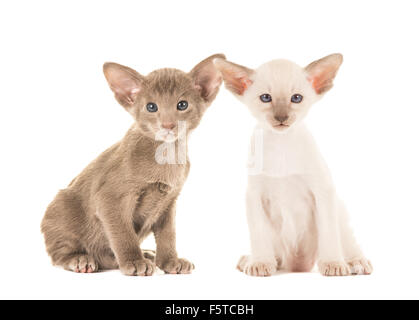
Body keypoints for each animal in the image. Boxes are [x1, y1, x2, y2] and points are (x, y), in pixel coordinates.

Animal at [215, 53, 372, 276]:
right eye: (266, 98)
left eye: (296, 98)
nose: (282, 117)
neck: (282, 144)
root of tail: (298, 266)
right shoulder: (255, 196)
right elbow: (258, 233)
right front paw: (260, 262)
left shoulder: (322, 191)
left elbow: (329, 234)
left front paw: (333, 263)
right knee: (277, 255)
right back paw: (252, 260)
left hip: (339, 212)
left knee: (347, 241)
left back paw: (355, 262)